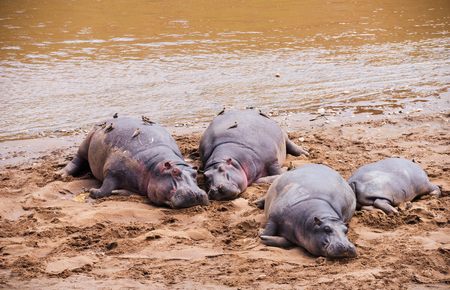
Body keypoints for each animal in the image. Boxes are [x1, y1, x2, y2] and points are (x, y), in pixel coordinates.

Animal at [57, 115, 209, 208]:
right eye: (175, 172)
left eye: (195, 174)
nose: (196, 194)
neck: (155, 167)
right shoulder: (112, 171)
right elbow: (106, 188)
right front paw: (93, 191)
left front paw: (117, 192)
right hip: (85, 143)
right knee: (77, 160)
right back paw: (60, 175)